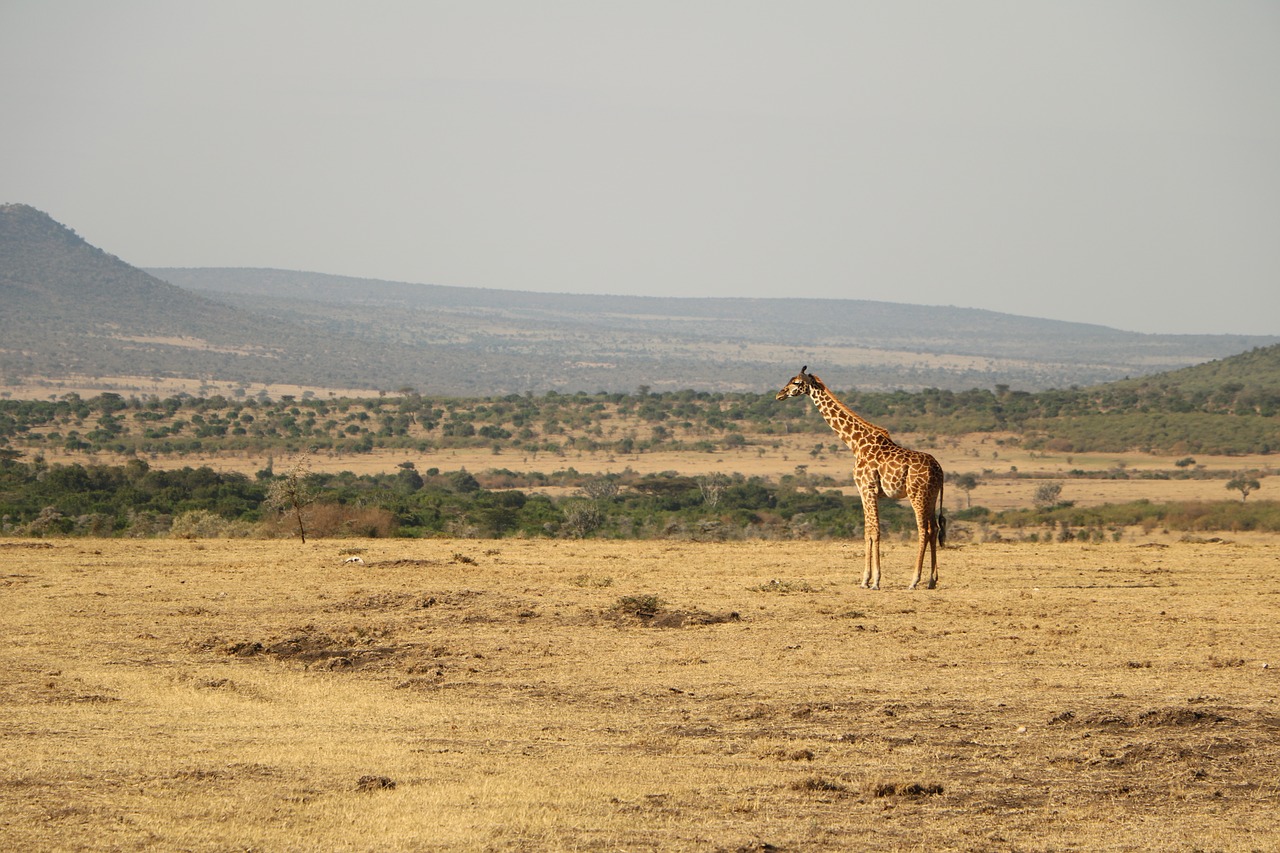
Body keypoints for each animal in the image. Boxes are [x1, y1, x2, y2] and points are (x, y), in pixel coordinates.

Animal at [773, 361, 947, 589]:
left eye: (796, 382)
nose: (779, 394)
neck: (855, 444)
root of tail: (940, 471)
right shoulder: (865, 492)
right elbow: (867, 532)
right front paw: (866, 579)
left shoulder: (867, 488)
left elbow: (874, 531)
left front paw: (874, 581)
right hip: (931, 496)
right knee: (934, 529)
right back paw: (932, 580)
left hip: (916, 495)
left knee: (924, 530)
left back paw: (914, 580)